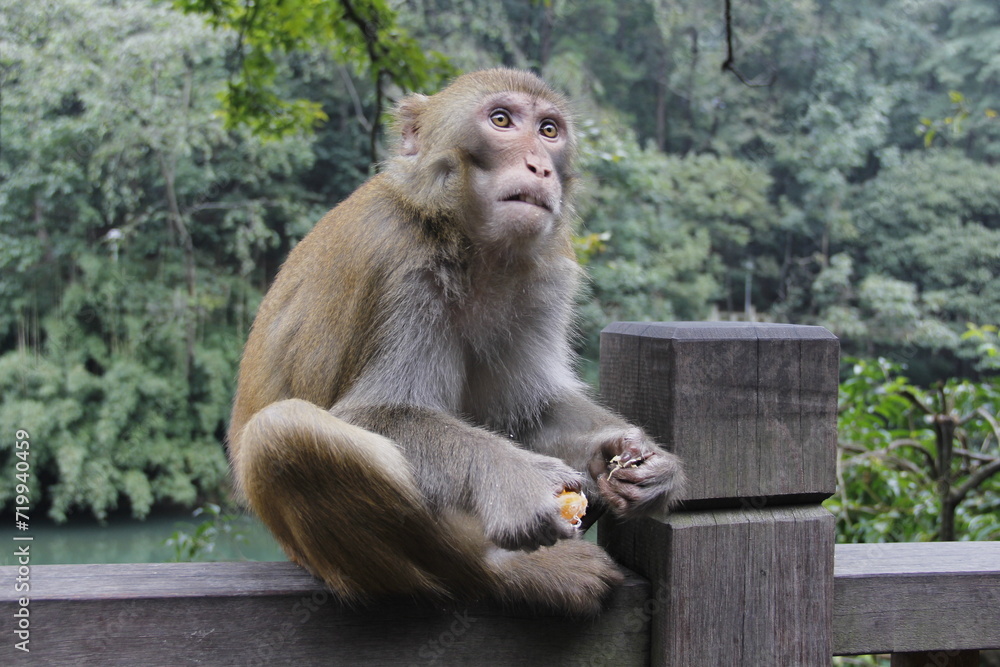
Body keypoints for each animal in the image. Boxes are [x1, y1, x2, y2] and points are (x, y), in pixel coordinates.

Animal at [227, 68, 684, 616]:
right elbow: (369, 414)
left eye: (549, 130)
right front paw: (515, 478)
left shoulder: (544, 278)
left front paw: (633, 457)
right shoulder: (403, 264)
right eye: (502, 121)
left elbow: (527, 414)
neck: (468, 242)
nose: (539, 166)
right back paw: (502, 570)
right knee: (283, 432)